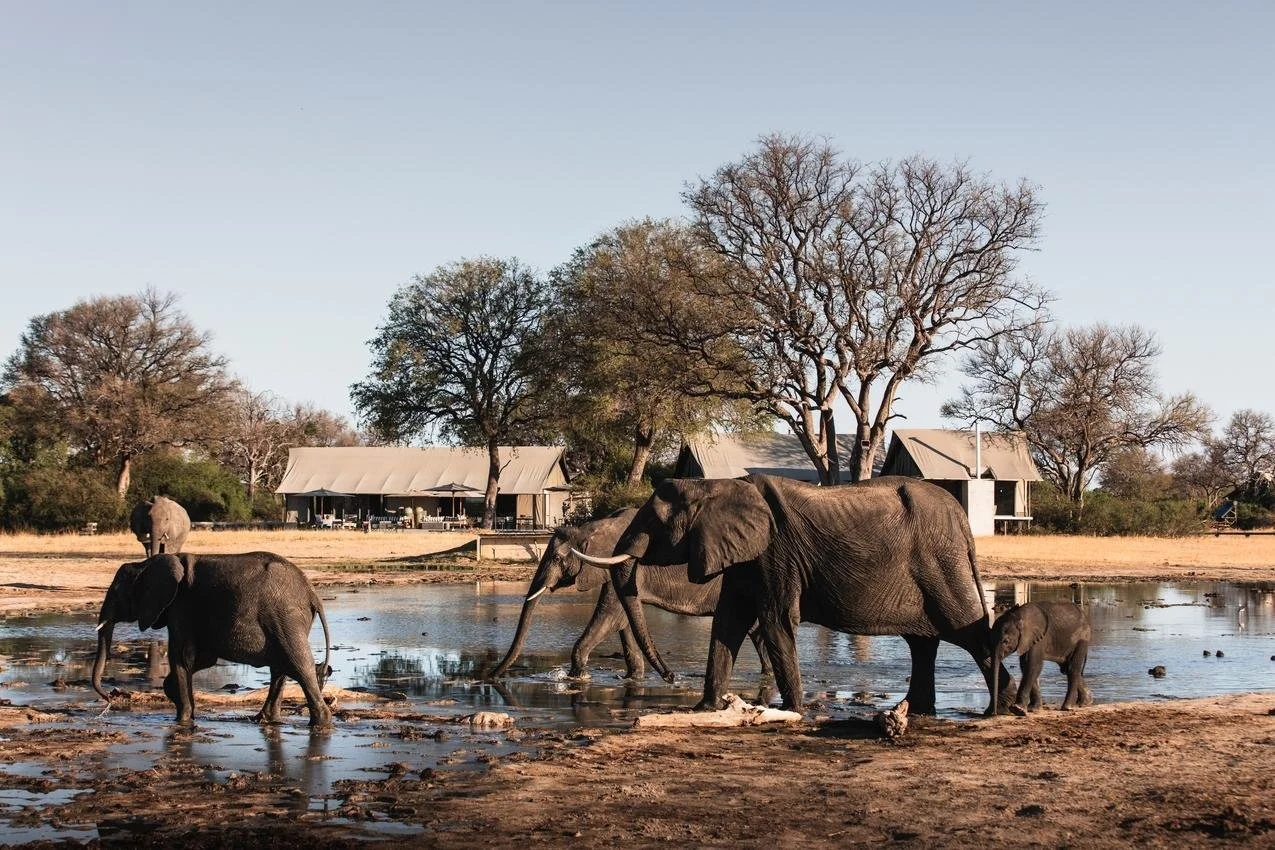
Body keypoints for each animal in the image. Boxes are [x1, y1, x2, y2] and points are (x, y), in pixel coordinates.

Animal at [91, 551, 333, 728]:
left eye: (117, 593)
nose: (109, 698)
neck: (145, 564)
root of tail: (313, 595)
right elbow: (204, 659)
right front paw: (176, 697)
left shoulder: (181, 606)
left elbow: (182, 657)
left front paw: (182, 720)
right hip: (284, 621)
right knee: (281, 668)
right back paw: (264, 720)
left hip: (285, 617)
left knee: (299, 666)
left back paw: (318, 724)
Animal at [487, 508, 771, 680]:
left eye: (557, 558)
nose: (490, 676)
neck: (593, 527)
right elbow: (622, 619)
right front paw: (633, 677)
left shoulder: (625, 565)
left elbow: (610, 615)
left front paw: (576, 677)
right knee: (756, 630)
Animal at [574, 474, 1015, 715]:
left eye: (655, 520)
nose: (670, 677)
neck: (719, 484)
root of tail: (962, 517)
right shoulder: (746, 555)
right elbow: (728, 622)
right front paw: (705, 709)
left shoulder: (776, 552)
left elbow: (775, 621)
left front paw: (793, 712)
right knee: (923, 642)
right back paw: (917, 709)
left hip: (941, 564)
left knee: (967, 630)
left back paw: (1005, 706)